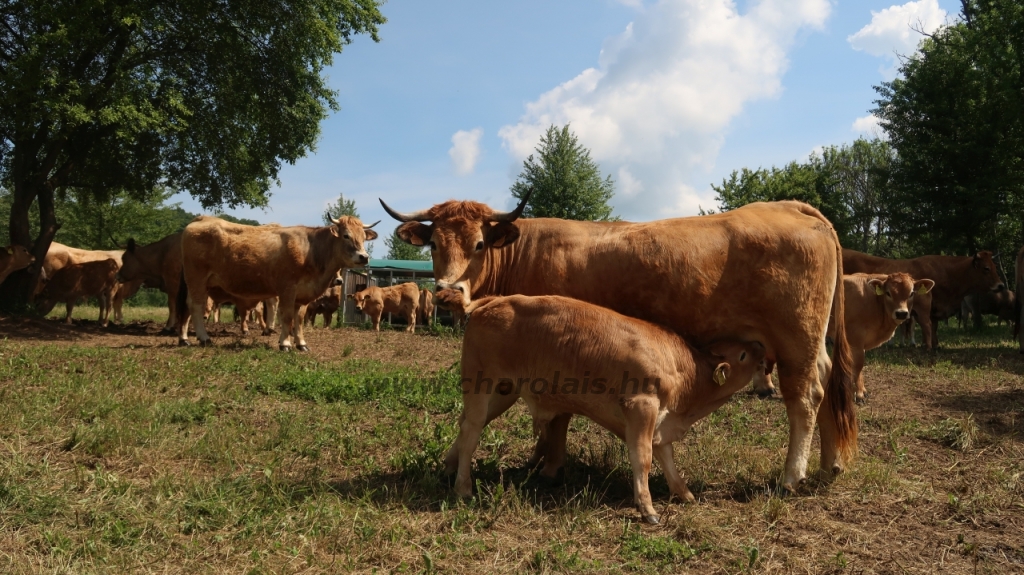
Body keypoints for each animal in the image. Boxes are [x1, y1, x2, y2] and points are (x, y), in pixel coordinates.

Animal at [178, 214, 378, 349]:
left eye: (363, 237)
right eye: (346, 235)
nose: (364, 257)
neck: (311, 250)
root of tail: (201, 219)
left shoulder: (303, 295)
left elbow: (299, 318)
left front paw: (301, 343)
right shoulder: (288, 289)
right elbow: (287, 316)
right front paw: (285, 343)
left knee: (187, 306)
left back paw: (184, 338)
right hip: (196, 278)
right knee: (196, 305)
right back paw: (203, 338)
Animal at [380, 192, 860, 493]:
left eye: (479, 243)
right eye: (434, 244)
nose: (446, 293)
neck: (524, 253)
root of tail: (790, 207)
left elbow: (555, 417)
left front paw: (548, 464)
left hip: (796, 339)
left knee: (805, 397)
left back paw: (792, 476)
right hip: (810, 343)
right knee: (828, 384)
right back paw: (829, 466)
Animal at [446, 292, 761, 521]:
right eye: (743, 355)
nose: (761, 347)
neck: (685, 370)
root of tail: (495, 300)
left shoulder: (661, 422)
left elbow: (667, 459)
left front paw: (684, 494)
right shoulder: (642, 407)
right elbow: (643, 458)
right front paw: (647, 509)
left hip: (503, 392)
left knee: (464, 427)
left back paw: (449, 466)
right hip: (480, 384)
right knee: (471, 431)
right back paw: (463, 488)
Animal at [843, 248, 1003, 347]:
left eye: (995, 267)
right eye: (986, 268)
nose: (1001, 285)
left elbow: (933, 326)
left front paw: (935, 344)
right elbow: (930, 325)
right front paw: (930, 344)